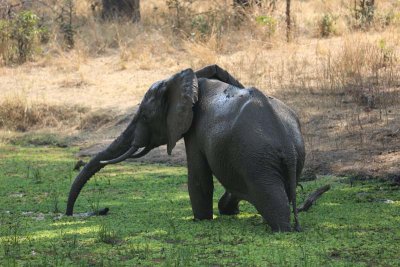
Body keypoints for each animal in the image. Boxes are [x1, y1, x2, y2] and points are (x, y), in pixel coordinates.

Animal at [65, 65, 304, 232]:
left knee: (275, 205)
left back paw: (282, 230)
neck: (191, 78)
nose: (70, 215)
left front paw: (200, 220)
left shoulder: (195, 131)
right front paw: (225, 211)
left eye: (144, 116)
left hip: (258, 162)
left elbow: (199, 179)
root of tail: (288, 146)